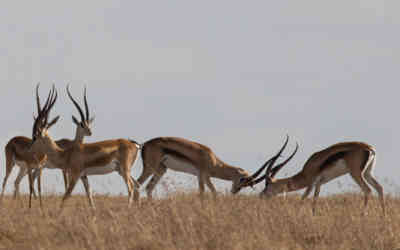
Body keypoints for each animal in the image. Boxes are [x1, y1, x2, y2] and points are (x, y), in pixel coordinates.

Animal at [138, 136, 296, 198]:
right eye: (241, 182)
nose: (233, 192)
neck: (213, 161)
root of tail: (144, 144)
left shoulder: (200, 176)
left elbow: (203, 192)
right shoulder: (205, 175)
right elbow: (212, 192)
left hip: (161, 170)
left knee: (148, 188)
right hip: (150, 168)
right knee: (137, 184)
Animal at [242, 140, 386, 214]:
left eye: (267, 184)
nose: (261, 195)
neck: (307, 170)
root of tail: (369, 148)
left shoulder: (311, 183)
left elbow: (303, 198)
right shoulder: (319, 184)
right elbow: (315, 201)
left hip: (355, 173)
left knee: (368, 190)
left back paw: (363, 215)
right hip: (367, 173)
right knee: (379, 188)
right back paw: (383, 217)